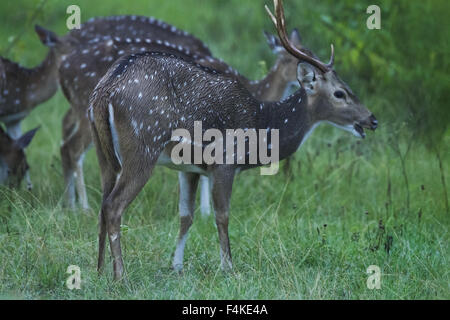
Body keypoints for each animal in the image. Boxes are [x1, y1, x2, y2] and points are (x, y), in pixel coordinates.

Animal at [89, 0, 378, 280]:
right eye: (340, 93)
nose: (372, 119)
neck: (261, 125)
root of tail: (106, 91)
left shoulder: (189, 167)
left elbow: (186, 216)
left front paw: (177, 266)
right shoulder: (225, 160)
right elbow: (222, 215)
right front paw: (229, 267)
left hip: (104, 152)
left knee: (102, 203)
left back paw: (100, 269)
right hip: (143, 146)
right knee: (114, 205)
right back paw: (121, 276)